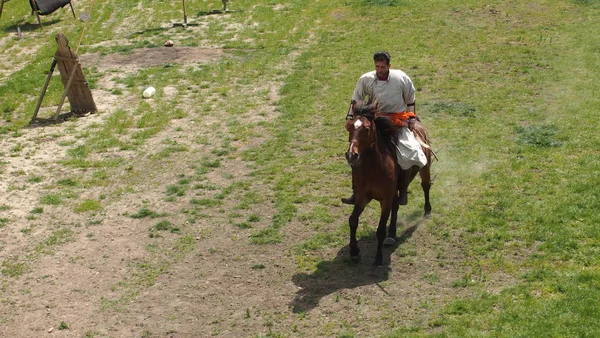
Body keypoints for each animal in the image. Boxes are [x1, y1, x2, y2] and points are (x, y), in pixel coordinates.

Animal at [344, 101, 434, 266]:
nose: (351, 155)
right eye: (350, 127)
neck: (373, 167)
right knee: (396, 205)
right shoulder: (362, 196)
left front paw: (378, 258)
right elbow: (353, 220)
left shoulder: (384, 199)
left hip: (425, 168)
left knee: (425, 187)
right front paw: (354, 252)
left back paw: (427, 211)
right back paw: (392, 233)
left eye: (366, 129)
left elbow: (380, 229)